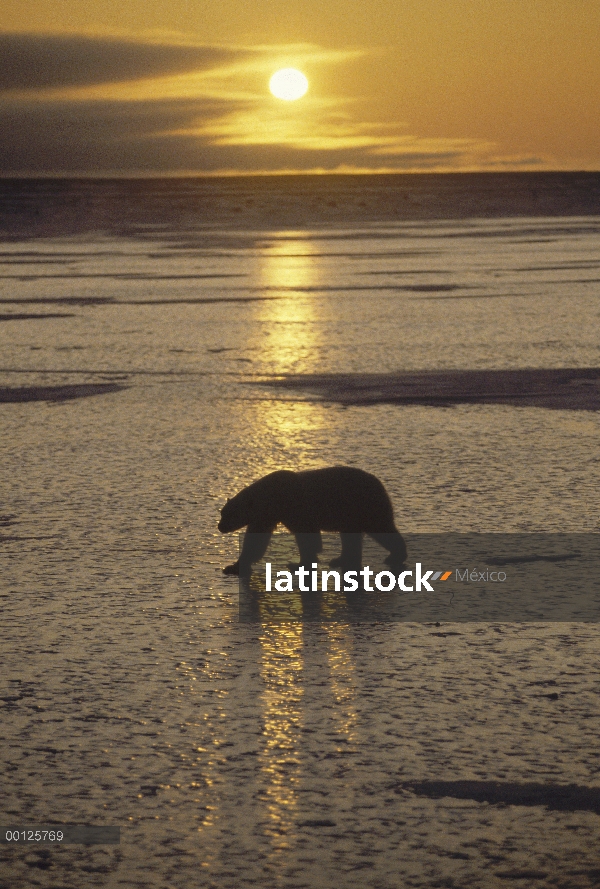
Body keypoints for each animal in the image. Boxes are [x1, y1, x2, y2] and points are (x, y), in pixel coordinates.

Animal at [217, 464, 408, 576]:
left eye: (229, 514)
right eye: (222, 513)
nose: (220, 527)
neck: (270, 497)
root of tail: (380, 484)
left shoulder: (293, 508)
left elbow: (307, 536)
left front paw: (299, 564)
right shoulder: (267, 516)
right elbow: (255, 542)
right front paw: (233, 566)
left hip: (364, 505)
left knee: (381, 528)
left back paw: (395, 555)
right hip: (351, 514)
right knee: (350, 537)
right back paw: (341, 560)